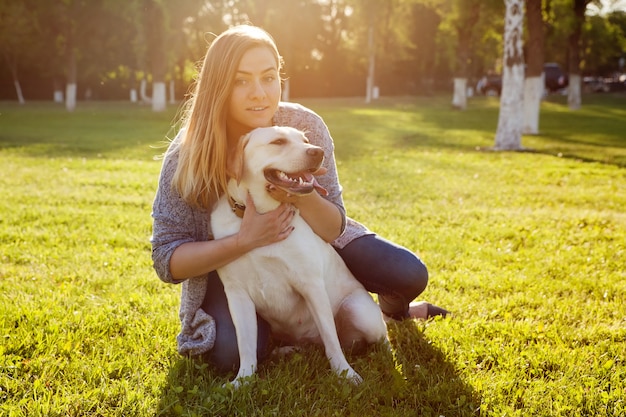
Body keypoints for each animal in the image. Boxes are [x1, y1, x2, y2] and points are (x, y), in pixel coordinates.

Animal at [210, 125, 386, 386]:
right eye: (278, 142)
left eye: (304, 140)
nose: (318, 151)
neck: (263, 213)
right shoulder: (237, 295)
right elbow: (246, 346)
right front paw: (243, 381)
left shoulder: (311, 284)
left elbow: (331, 339)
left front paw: (345, 373)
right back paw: (285, 350)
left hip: (361, 312)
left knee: (371, 339)